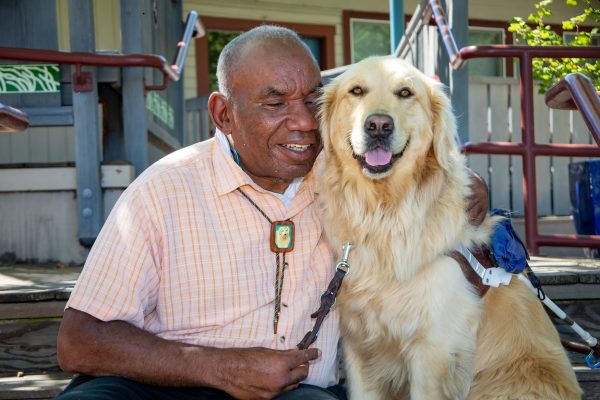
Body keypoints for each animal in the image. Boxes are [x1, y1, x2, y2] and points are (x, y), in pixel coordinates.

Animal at [318, 57, 580, 400]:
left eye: (405, 92)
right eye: (357, 91)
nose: (378, 125)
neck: (385, 210)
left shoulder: (433, 348)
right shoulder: (358, 347)